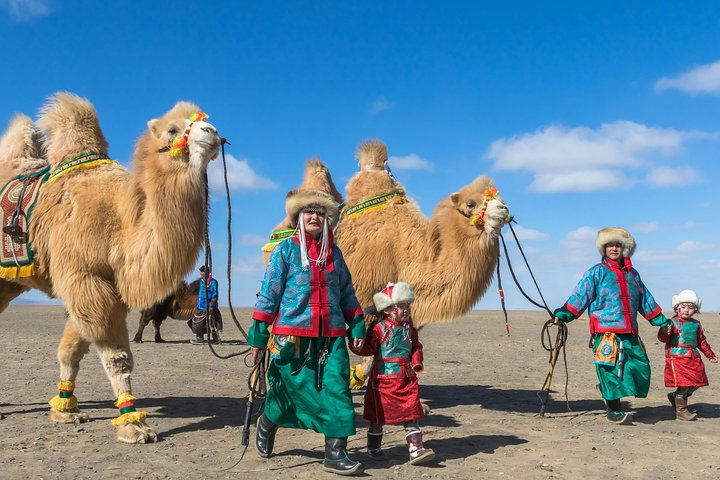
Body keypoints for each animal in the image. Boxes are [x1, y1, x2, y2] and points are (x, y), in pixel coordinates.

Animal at [0, 94, 222, 442]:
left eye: (205, 121)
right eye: (172, 129)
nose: (211, 132)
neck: (119, 221)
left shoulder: (101, 284)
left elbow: (71, 351)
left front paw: (65, 411)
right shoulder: (85, 279)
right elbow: (116, 358)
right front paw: (133, 425)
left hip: (9, 282)